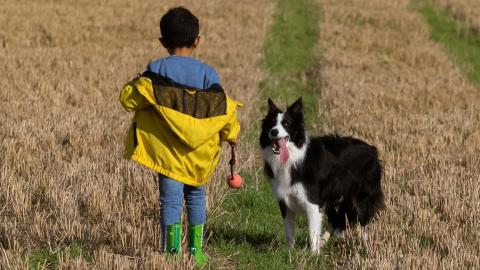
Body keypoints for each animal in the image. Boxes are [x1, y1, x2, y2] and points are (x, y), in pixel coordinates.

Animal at [260, 97, 384, 253]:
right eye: (271, 124)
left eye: (286, 124)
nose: (274, 132)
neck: (294, 157)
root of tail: (373, 149)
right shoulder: (284, 200)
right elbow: (289, 232)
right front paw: (288, 253)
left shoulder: (312, 201)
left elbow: (312, 232)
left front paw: (313, 254)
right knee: (339, 219)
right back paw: (326, 239)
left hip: (363, 196)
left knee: (362, 220)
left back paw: (366, 245)